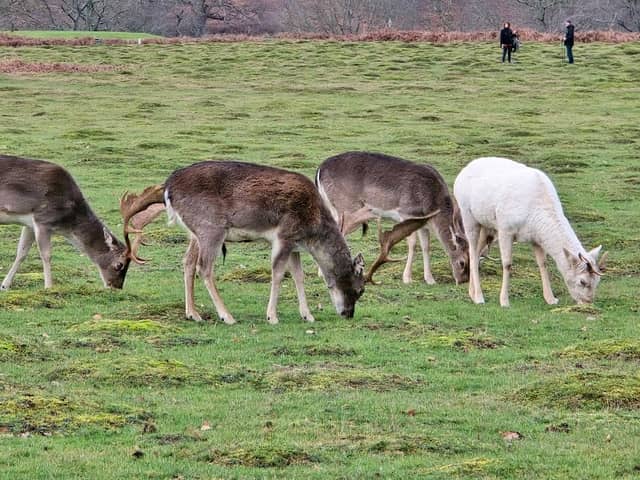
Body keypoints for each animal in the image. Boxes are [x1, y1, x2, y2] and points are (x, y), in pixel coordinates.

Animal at [0, 155, 132, 290]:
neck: (66, 225)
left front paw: (5, 285)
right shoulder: (43, 219)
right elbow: (46, 255)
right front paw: (49, 287)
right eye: (119, 265)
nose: (117, 286)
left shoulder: (29, 224)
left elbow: (21, 253)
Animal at [120, 160, 366, 325]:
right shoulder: (284, 235)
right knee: (204, 268)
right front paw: (272, 316)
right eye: (360, 289)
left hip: (195, 233)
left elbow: (298, 274)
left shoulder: (294, 244)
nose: (348, 313)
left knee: (187, 262)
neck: (312, 231)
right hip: (211, 229)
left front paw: (308, 315)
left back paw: (193, 313)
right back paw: (227, 316)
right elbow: (278, 273)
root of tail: (168, 188)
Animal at [315, 151, 469, 285]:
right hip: (348, 209)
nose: (463, 281)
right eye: (462, 262)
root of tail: (320, 169)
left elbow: (426, 246)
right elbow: (412, 243)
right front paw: (407, 278)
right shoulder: (407, 213)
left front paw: (430, 279)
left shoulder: (423, 224)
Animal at [453, 157, 607, 307]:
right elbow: (507, 263)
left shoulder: (536, 238)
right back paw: (479, 298)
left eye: (598, 281)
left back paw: (472, 293)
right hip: (468, 215)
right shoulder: (505, 229)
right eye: (582, 281)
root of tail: (462, 172)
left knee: (477, 251)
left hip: (487, 225)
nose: (588, 302)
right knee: (472, 251)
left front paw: (551, 299)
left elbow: (543, 263)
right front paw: (504, 301)